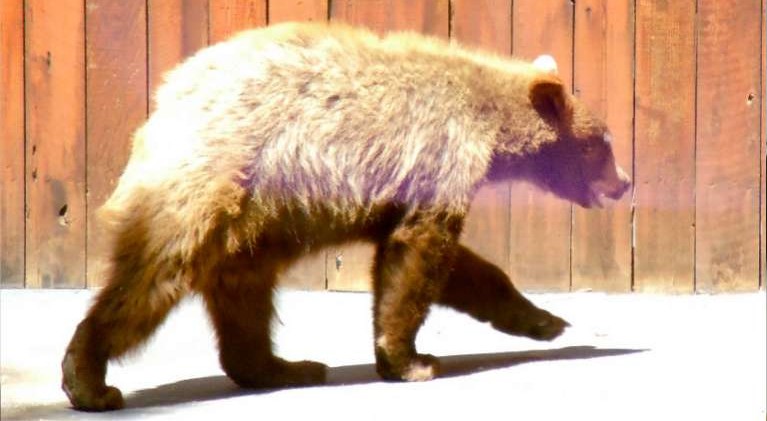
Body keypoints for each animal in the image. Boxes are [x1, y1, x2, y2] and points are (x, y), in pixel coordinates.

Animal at [61, 22, 631, 411]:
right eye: (602, 143)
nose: (626, 181)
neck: (490, 131)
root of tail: (165, 102)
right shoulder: (439, 156)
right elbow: (418, 255)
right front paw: (412, 361)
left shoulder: (404, 190)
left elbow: (459, 267)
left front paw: (545, 320)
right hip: (211, 182)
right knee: (152, 277)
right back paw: (89, 379)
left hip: (252, 225)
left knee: (245, 294)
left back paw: (284, 366)